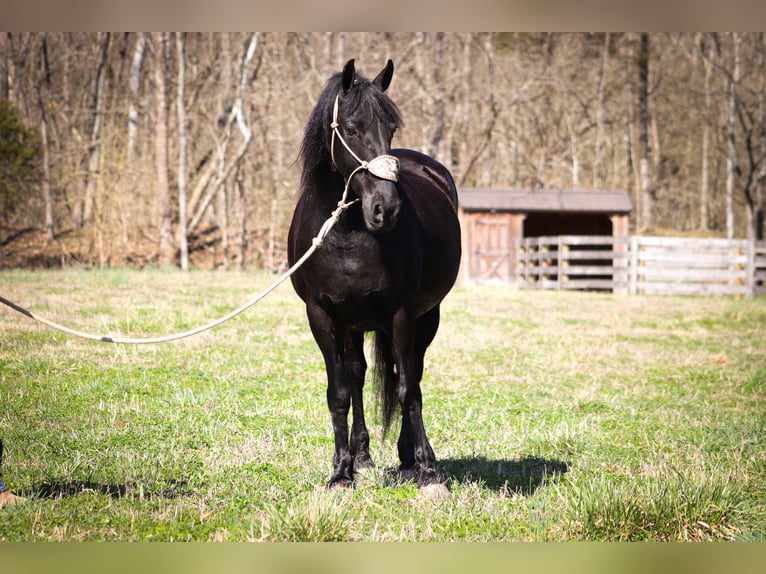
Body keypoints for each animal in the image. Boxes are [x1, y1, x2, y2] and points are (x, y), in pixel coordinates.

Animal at [288, 59, 462, 496]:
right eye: (350, 129)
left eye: (391, 129)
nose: (387, 209)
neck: (348, 233)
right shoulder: (322, 316)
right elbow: (339, 393)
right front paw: (340, 473)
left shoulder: (401, 314)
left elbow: (407, 389)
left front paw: (429, 473)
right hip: (353, 324)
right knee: (358, 376)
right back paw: (362, 456)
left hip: (426, 317)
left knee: (411, 372)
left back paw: (411, 457)